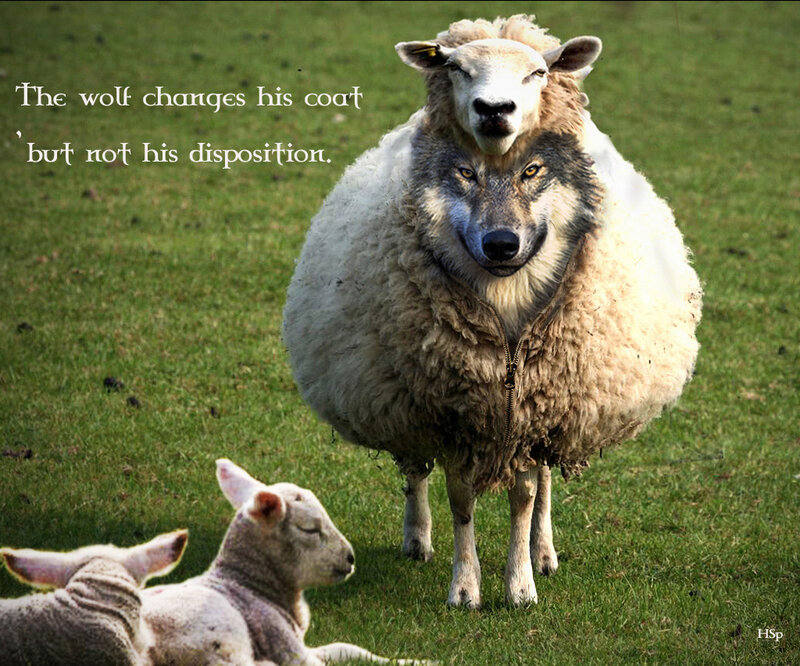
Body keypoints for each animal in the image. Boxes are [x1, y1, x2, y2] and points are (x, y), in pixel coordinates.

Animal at [142, 459, 433, 665]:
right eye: (309, 529)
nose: (350, 558)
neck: (248, 583)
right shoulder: (286, 647)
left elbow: (345, 648)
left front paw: (419, 660)